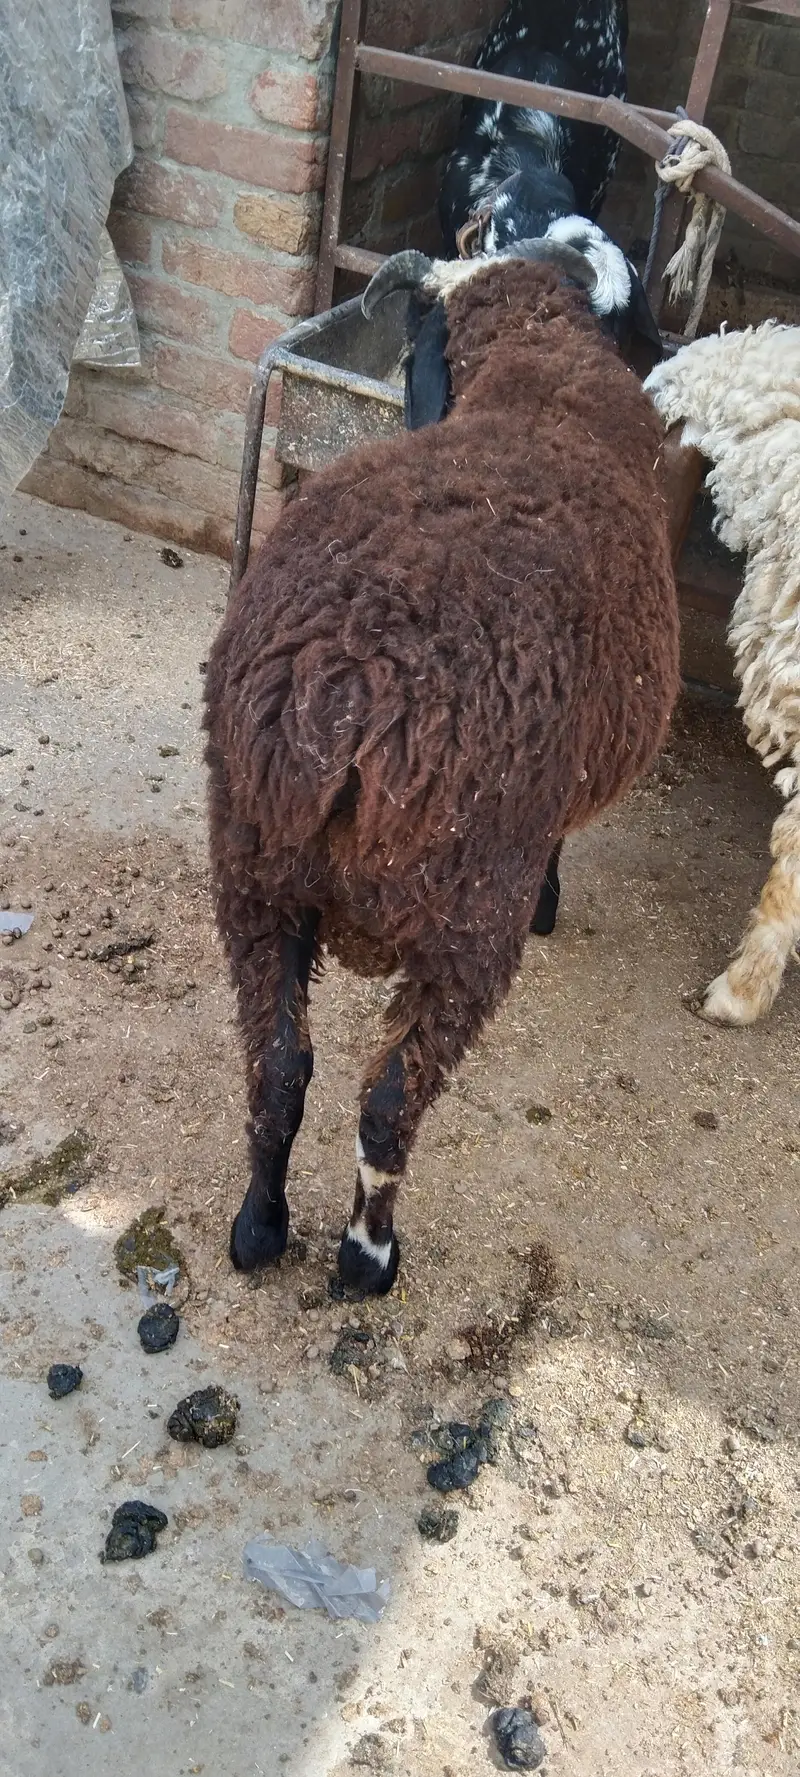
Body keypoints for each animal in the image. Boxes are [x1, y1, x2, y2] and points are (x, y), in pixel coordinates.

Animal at [204, 239, 680, 1296]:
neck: (537, 382)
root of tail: (346, 688)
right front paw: (553, 904)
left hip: (252, 872)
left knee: (279, 1068)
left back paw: (259, 1227)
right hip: (464, 915)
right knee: (388, 1103)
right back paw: (366, 1256)